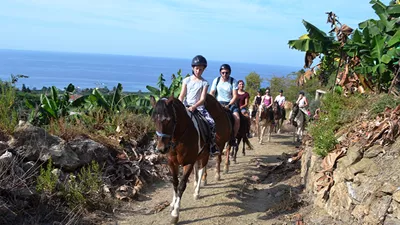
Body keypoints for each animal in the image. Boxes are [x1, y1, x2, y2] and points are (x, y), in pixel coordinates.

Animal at [150, 96, 211, 224]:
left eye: (168, 120)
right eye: (153, 120)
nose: (161, 149)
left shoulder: (188, 163)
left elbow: (181, 185)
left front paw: (175, 214)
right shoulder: (172, 163)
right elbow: (175, 183)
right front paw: (173, 204)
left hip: (205, 155)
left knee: (201, 171)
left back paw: (197, 192)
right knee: (197, 170)